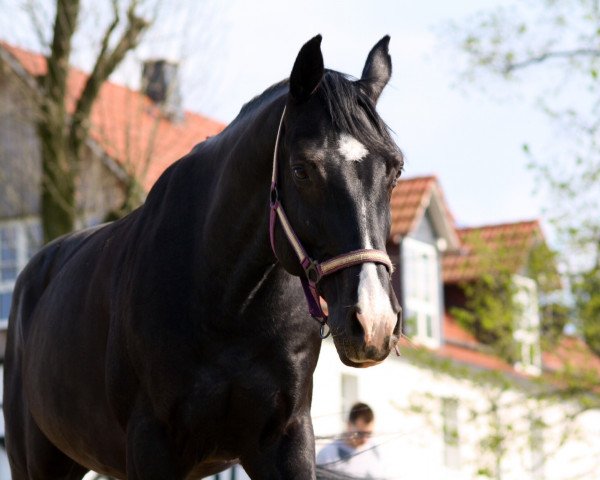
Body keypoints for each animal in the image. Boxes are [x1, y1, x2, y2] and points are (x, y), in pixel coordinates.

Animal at [4, 35, 404, 478]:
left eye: (395, 170)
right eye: (302, 169)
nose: (373, 322)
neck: (227, 305)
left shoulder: (287, 439)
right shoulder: (151, 444)